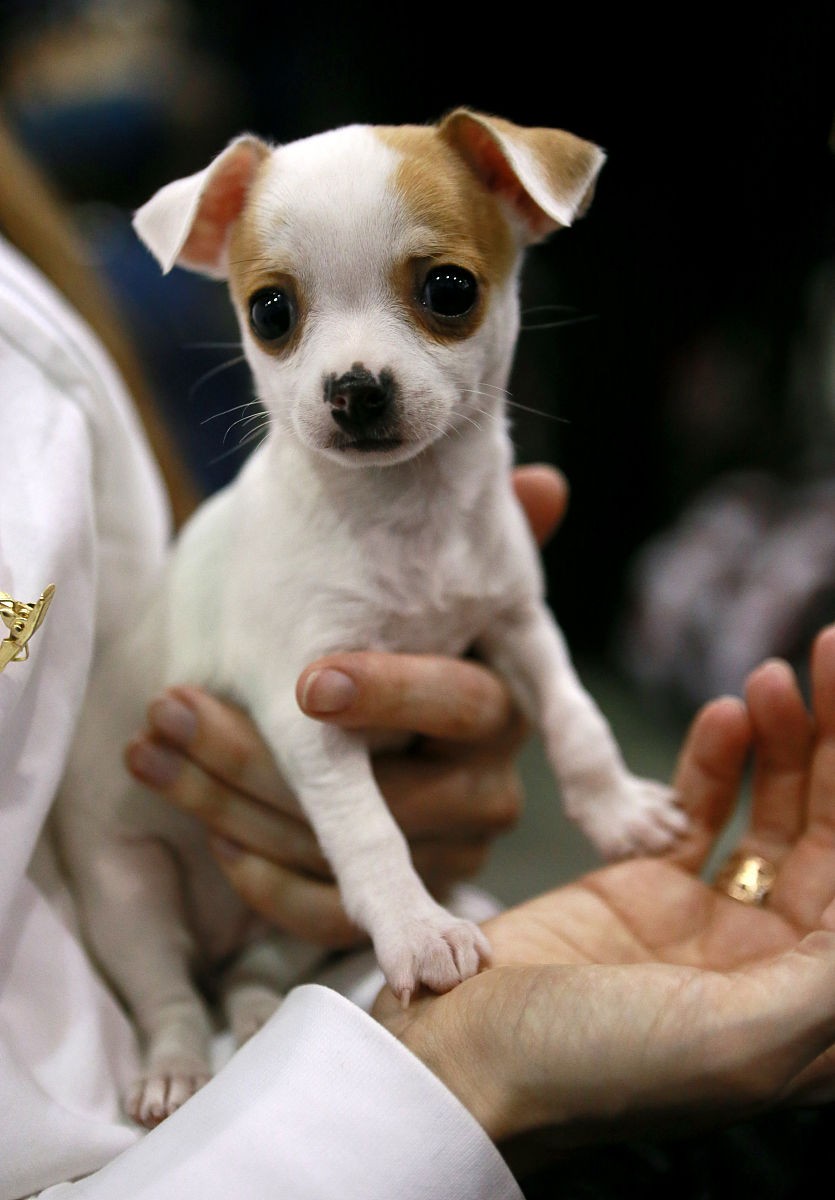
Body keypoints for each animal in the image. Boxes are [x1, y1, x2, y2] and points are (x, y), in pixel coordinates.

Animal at [56, 108, 686, 1128]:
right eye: (271, 313)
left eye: (449, 290)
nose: (354, 388)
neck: (405, 519)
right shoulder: (307, 712)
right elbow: (370, 832)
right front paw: (420, 930)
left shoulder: (516, 625)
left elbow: (575, 718)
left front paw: (620, 809)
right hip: (129, 891)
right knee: (169, 993)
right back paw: (177, 1070)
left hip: (272, 927)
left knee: (247, 972)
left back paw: (259, 1013)